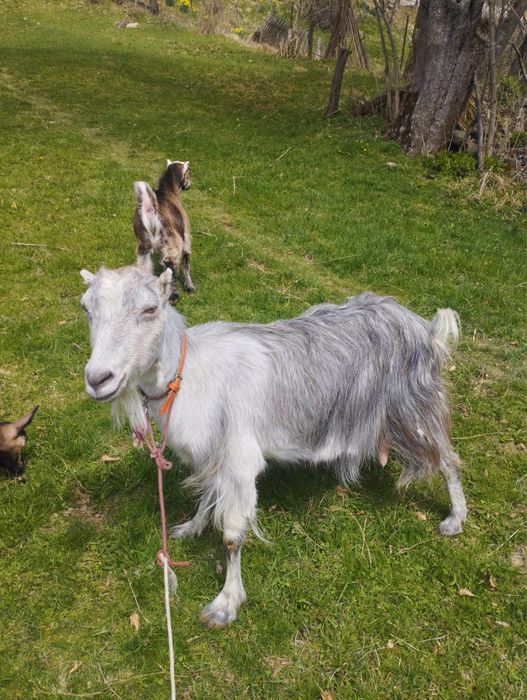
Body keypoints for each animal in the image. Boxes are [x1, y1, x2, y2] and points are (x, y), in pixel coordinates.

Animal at [80, 265, 467, 628]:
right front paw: (191, 527)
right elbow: (207, 497)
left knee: (448, 459)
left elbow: (232, 536)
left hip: (414, 410)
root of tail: (427, 328)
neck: (189, 374)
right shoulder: (212, 456)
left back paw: (454, 519)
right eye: (86, 308)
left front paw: (225, 604)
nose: (98, 379)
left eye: (150, 309)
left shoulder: (239, 459)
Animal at [133, 159, 195, 302]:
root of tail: (151, 210)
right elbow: (186, 261)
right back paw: (173, 295)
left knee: (144, 266)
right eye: (189, 172)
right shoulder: (185, 236)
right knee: (170, 265)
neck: (168, 191)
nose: (189, 185)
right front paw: (189, 286)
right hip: (173, 242)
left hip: (143, 245)